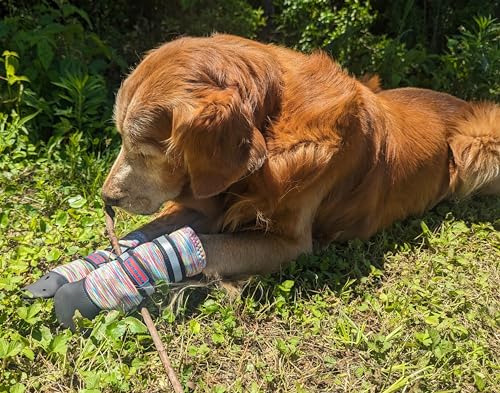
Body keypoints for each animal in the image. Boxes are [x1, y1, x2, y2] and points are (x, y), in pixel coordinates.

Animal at [100, 33, 496, 278]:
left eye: (143, 149)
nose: (106, 197)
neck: (271, 123)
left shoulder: (288, 243)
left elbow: (208, 246)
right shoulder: (212, 200)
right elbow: (157, 229)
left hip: (479, 145)